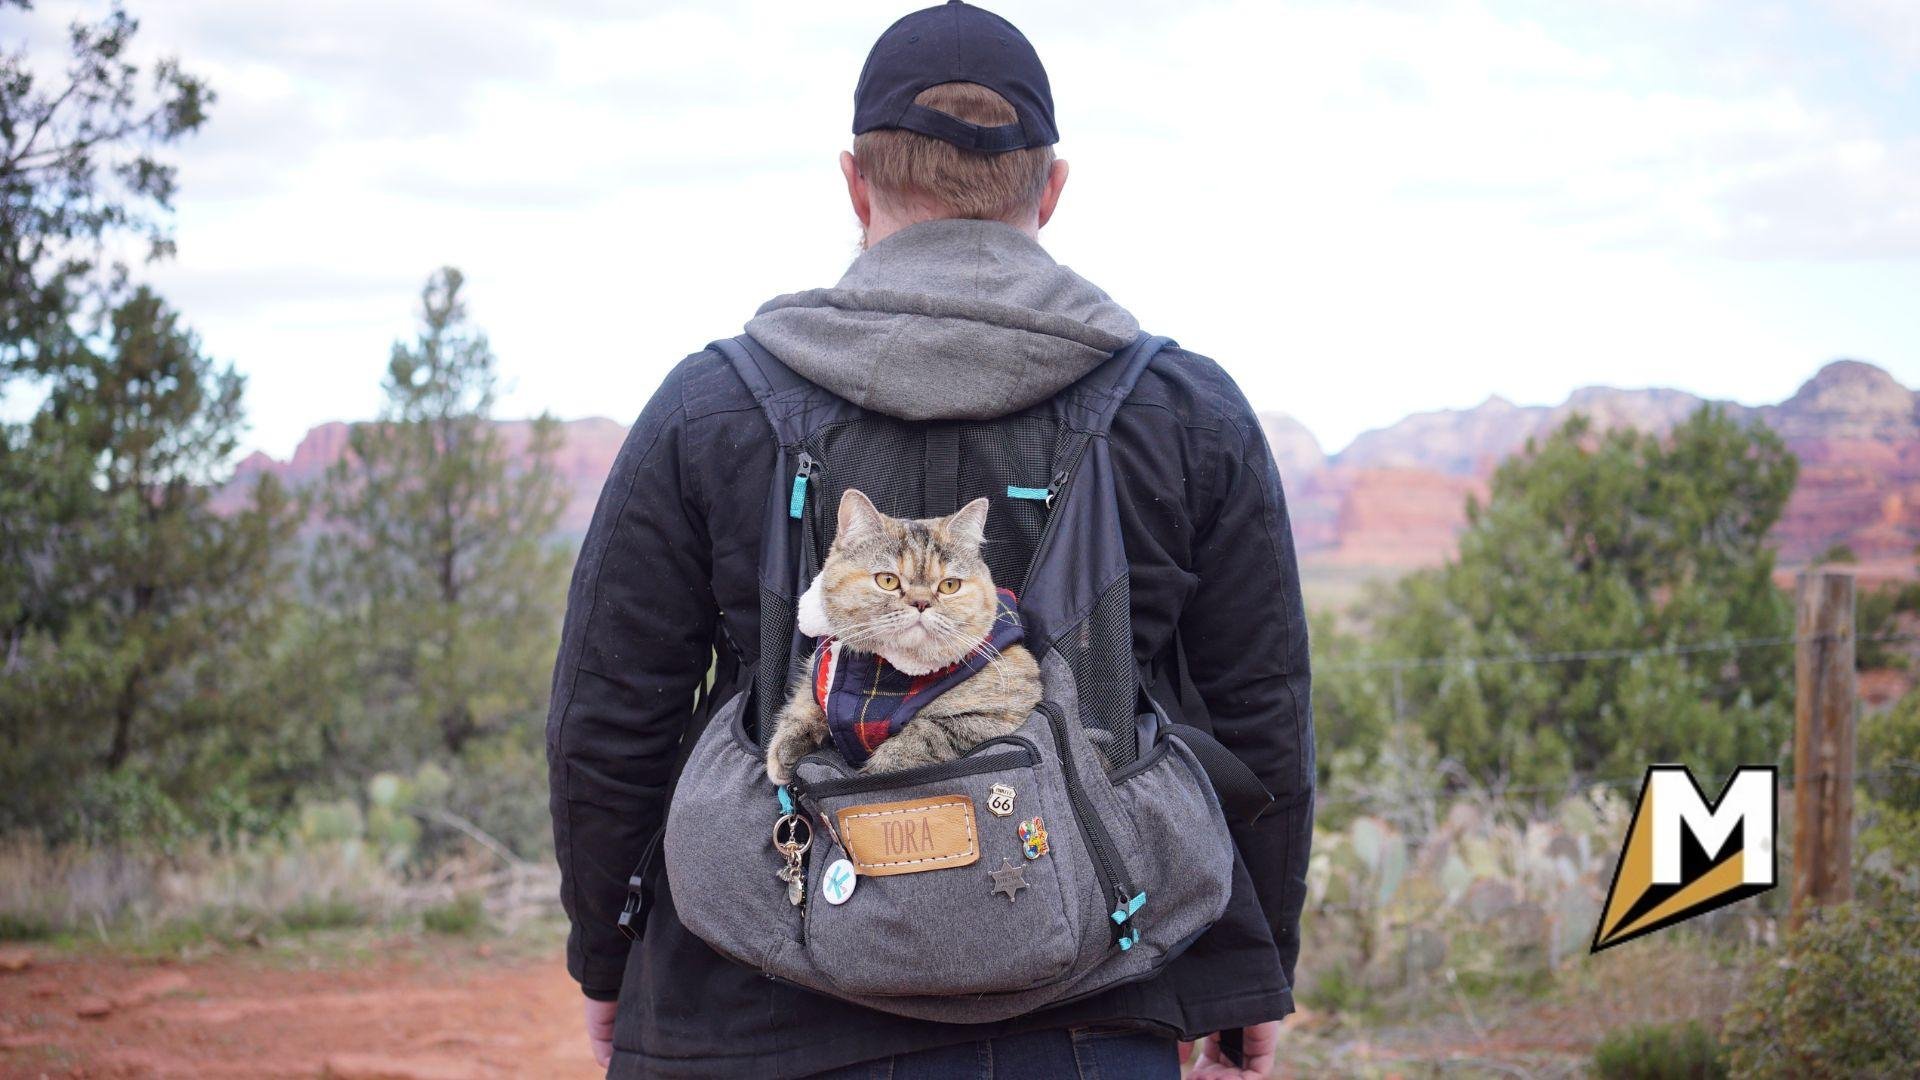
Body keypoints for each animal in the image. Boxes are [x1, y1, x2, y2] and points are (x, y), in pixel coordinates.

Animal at [764, 488, 1044, 780]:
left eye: (949, 585)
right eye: (887, 580)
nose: (921, 603)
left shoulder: (1001, 710)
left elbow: (922, 735)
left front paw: (878, 769)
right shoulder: (820, 673)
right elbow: (805, 702)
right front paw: (786, 745)